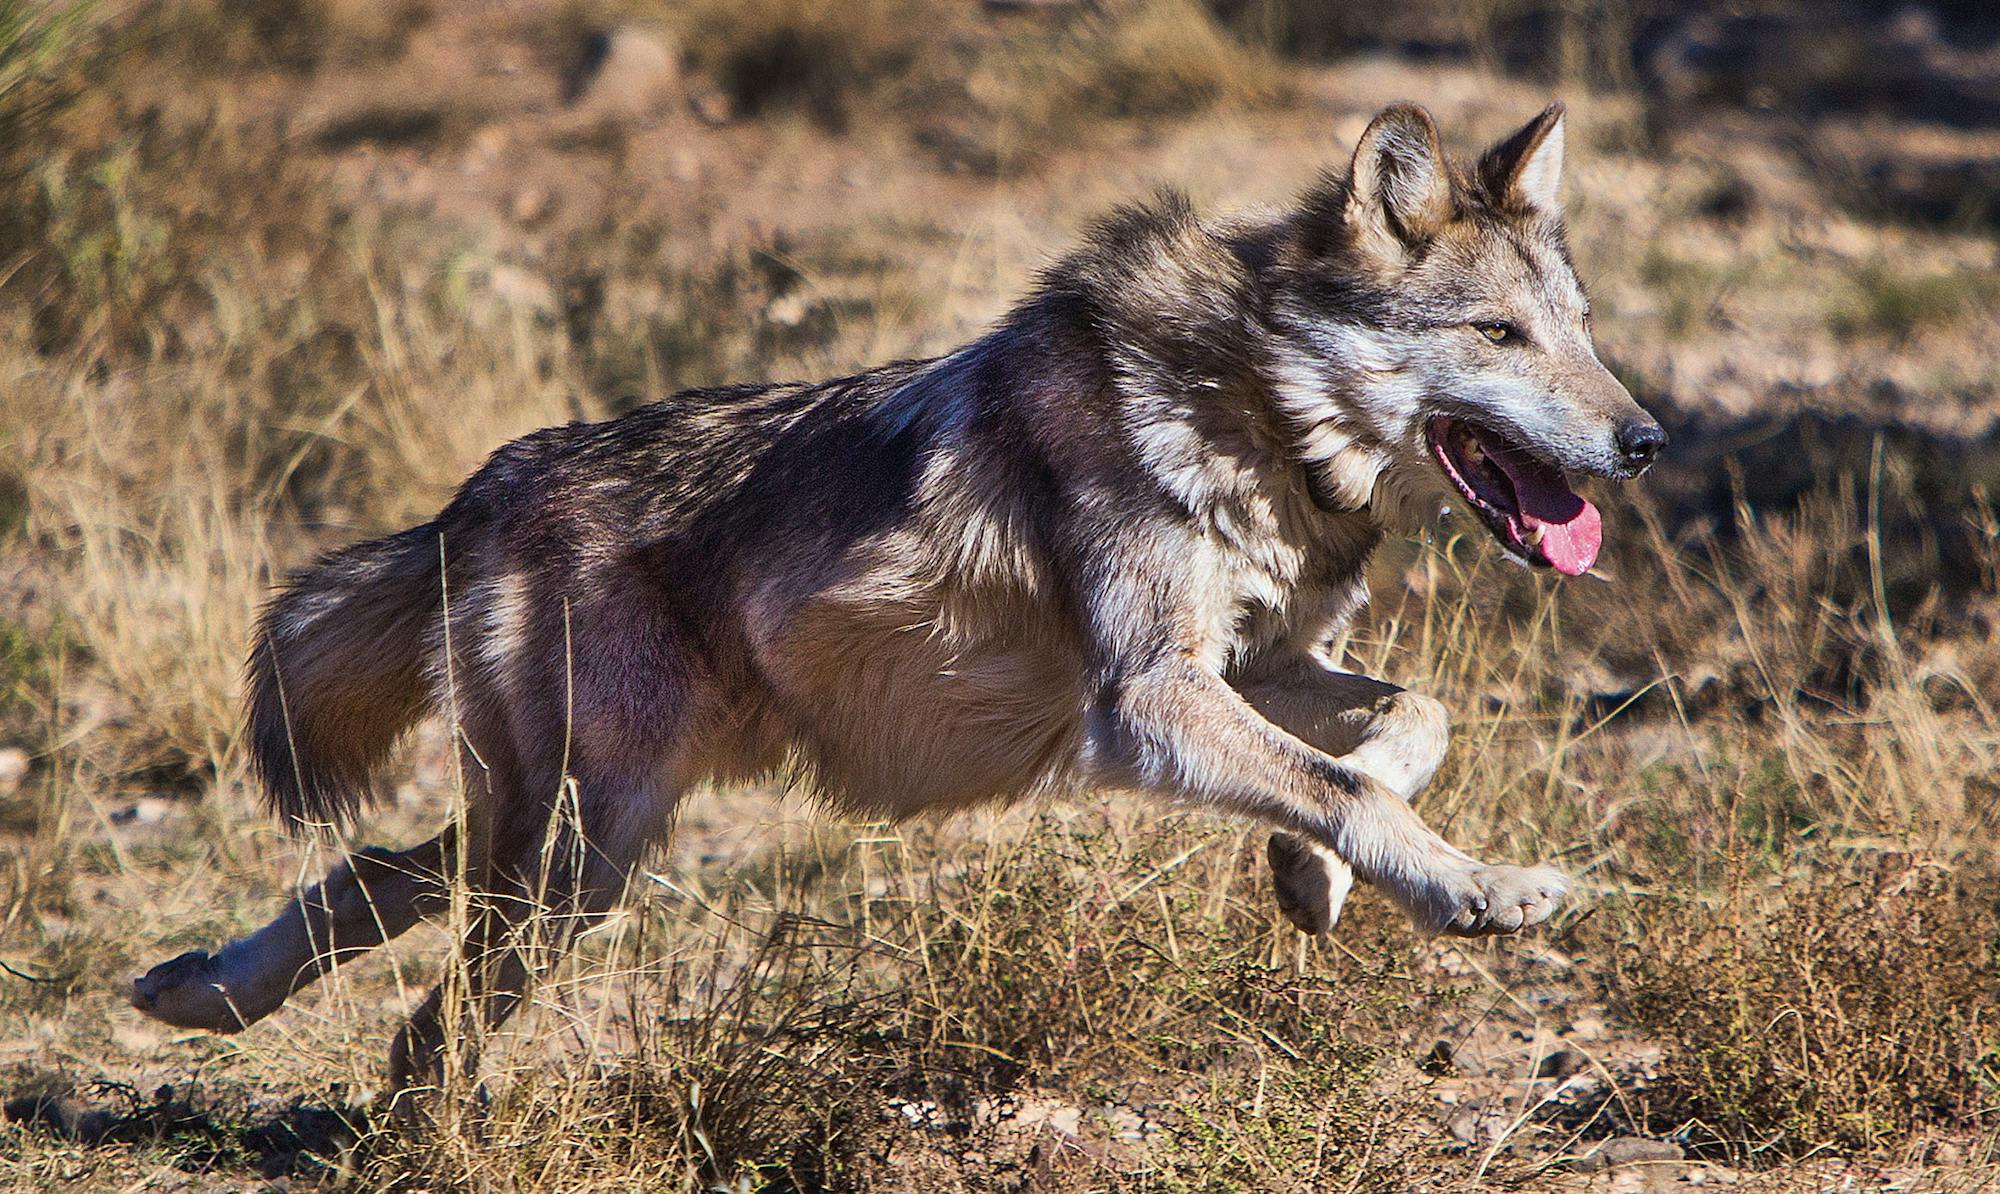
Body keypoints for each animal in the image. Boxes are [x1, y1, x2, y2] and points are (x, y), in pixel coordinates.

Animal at [130, 102, 1663, 1088]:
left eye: (1584, 331)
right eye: (1497, 334)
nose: (1645, 441)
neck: (1254, 412)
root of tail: (475, 494)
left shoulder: (1256, 667)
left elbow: (1410, 727)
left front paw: (1312, 877)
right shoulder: (1146, 704)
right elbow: (1350, 781)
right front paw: (1475, 890)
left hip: (574, 841)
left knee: (379, 878)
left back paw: (199, 990)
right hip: (575, 855)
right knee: (428, 1008)